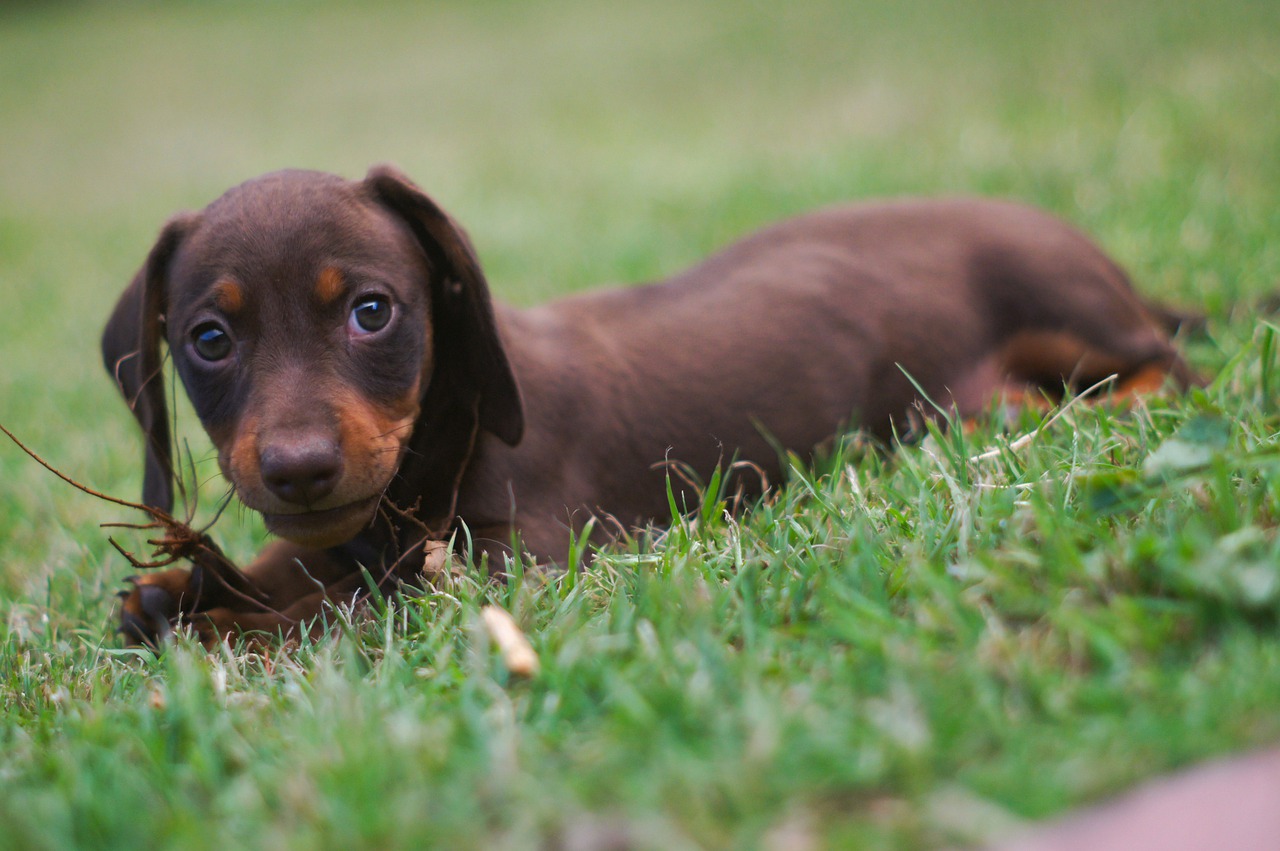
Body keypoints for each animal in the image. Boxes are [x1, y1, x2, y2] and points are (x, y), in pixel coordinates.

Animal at [104, 166, 1192, 644]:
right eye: (209, 339)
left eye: (372, 312)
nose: (297, 468)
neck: (447, 438)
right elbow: (300, 568)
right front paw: (183, 589)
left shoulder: (522, 563)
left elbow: (348, 605)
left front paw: (220, 625)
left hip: (1069, 308)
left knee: (1168, 368)